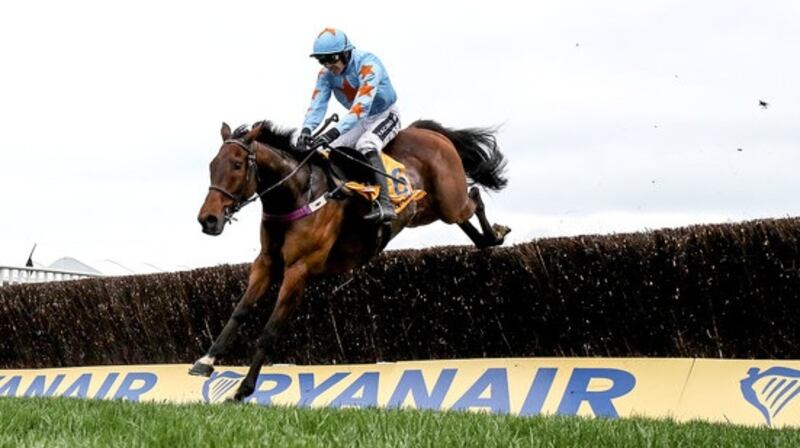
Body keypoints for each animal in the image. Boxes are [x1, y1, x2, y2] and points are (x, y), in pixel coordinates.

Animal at [191, 117, 510, 400]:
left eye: (236, 165)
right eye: (211, 166)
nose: (208, 219)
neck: (298, 193)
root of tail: (425, 130)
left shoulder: (299, 270)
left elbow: (270, 331)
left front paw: (243, 389)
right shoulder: (267, 263)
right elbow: (240, 311)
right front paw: (205, 362)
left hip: (449, 201)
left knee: (474, 196)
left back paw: (497, 231)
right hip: (426, 209)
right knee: (469, 219)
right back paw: (489, 237)